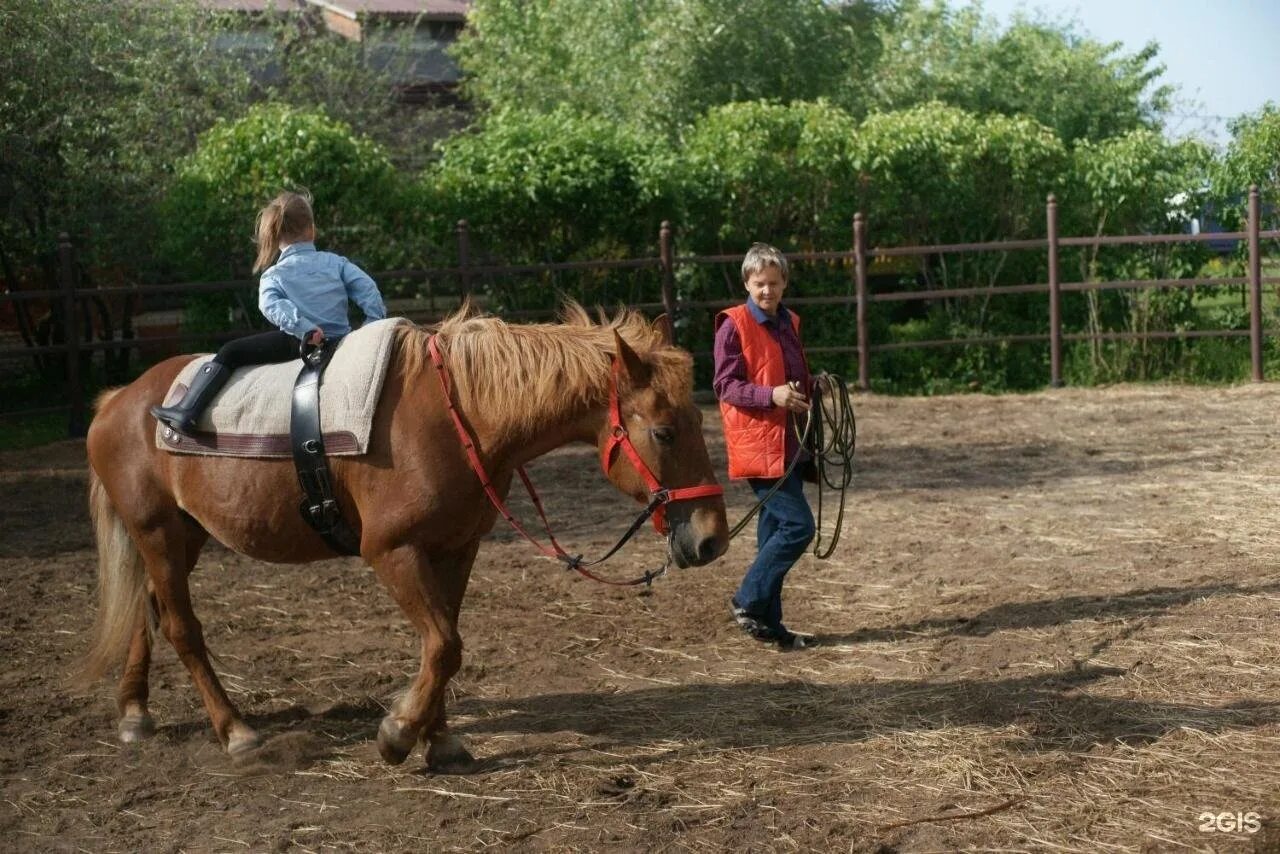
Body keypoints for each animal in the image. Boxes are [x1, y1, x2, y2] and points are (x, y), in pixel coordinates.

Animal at [80, 306, 732, 768]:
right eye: (665, 432)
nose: (712, 541)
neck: (456, 416)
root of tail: (120, 400)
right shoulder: (391, 551)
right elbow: (443, 645)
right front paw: (397, 735)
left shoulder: (455, 549)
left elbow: (444, 643)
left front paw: (437, 740)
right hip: (158, 532)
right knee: (180, 627)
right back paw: (235, 731)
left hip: (179, 537)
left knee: (147, 609)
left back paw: (135, 712)